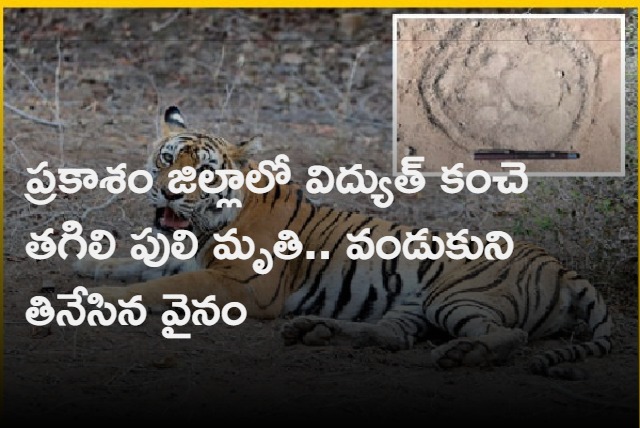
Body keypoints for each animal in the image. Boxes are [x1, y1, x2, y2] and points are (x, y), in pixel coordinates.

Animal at [74, 105, 612, 379]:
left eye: (203, 171)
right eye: (166, 160)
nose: (169, 191)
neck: (203, 229)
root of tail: (560, 265)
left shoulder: (240, 287)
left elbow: (155, 288)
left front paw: (100, 299)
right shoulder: (187, 260)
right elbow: (140, 264)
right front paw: (89, 267)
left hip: (455, 296)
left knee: (510, 335)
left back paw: (462, 355)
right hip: (414, 304)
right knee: (391, 335)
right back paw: (313, 330)